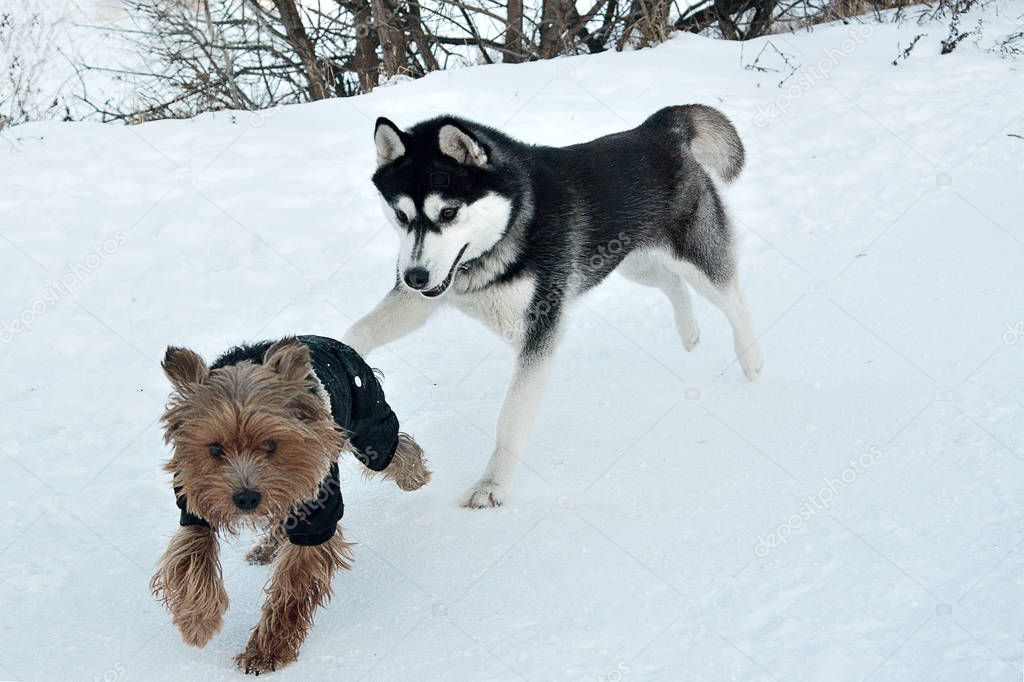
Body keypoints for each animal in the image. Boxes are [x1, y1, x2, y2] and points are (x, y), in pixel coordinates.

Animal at [149, 331, 430, 671]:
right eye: (214, 449)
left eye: (272, 445)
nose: (246, 498)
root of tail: (329, 340)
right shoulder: (193, 503)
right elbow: (190, 555)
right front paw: (197, 621)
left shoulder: (317, 510)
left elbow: (294, 584)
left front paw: (266, 651)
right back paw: (266, 548)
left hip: (368, 416)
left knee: (390, 447)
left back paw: (414, 475)